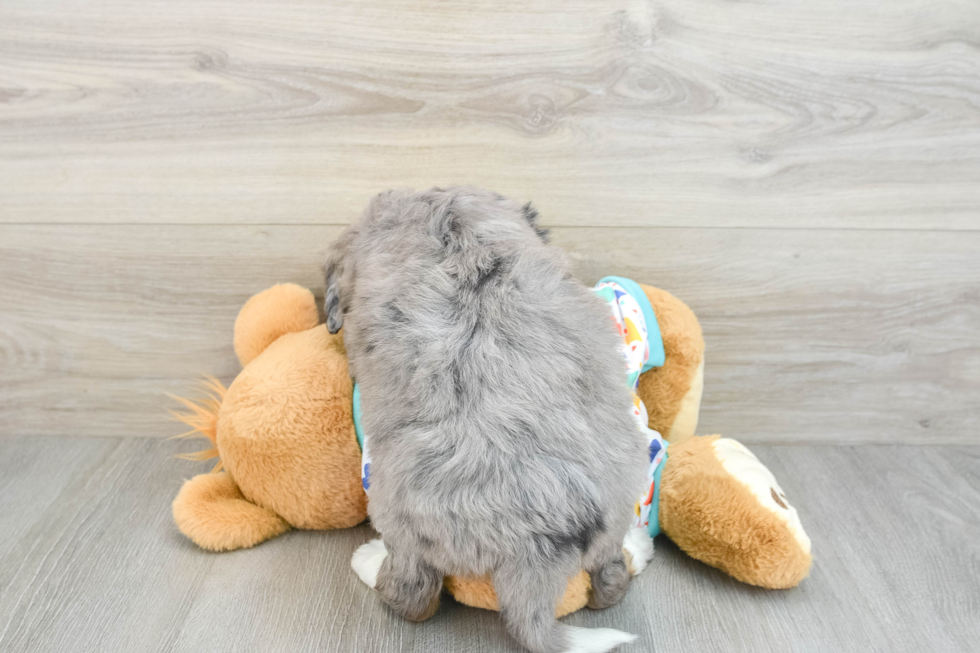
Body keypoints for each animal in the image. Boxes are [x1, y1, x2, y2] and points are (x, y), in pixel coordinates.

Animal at [328, 186, 652, 648]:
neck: (457, 235)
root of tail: (536, 547)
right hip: (621, 492)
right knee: (609, 582)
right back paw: (638, 548)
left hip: (397, 515)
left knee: (413, 595)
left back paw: (369, 560)